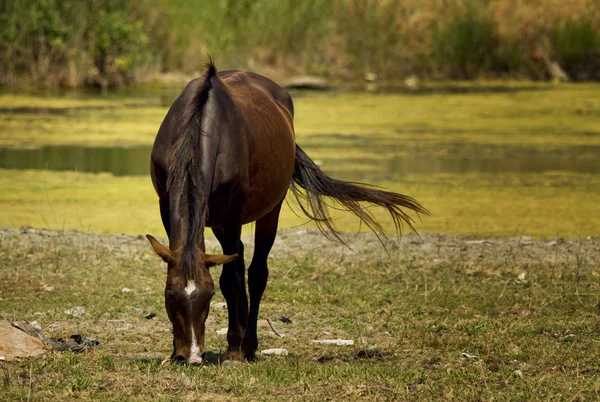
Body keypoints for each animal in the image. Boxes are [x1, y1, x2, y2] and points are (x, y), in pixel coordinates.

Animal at [145, 61, 426, 366]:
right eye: (170, 294)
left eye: (209, 296)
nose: (193, 356)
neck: (198, 131)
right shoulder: (167, 209)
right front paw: (176, 351)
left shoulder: (232, 217)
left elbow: (230, 281)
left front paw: (233, 351)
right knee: (240, 257)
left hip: (269, 210)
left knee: (256, 273)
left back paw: (247, 345)